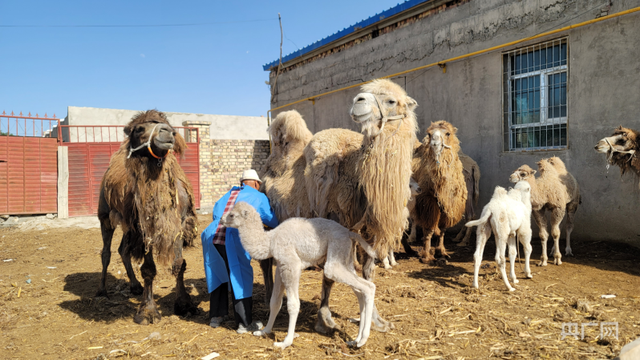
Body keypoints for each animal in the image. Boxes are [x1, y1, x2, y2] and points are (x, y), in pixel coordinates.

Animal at [95, 109, 198, 324]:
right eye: (139, 129)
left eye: (168, 126)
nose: (168, 132)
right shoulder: (145, 228)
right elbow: (149, 269)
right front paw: (148, 312)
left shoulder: (179, 224)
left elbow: (179, 264)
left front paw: (184, 304)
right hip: (105, 215)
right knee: (106, 252)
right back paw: (102, 291)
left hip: (128, 224)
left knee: (122, 250)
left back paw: (135, 286)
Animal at [224, 202, 378, 348]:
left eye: (231, 215)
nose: (222, 220)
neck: (270, 240)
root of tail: (349, 233)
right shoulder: (280, 266)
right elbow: (275, 302)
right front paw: (264, 331)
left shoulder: (292, 264)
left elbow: (293, 304)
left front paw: (285, 342)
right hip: (345, 260)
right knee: (360, 292)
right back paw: (355, 340)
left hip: (334, 259)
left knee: (368, 286)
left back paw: (363, 339)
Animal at [306, 79, 420, 334]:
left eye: (391, 100)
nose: (357, 102)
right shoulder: (337, 220)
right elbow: (332, 272)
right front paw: (324, 319)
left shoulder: (371, 230)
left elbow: (369, 273)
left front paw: (377, 320)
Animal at [412, 119, 468, 262]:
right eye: (429, 134)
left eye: (447, 133)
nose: (435, 143)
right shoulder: (427, 201)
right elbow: (429, 229)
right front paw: (426, 255)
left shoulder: (450, 204)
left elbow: (442, 229)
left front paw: (441, 252)